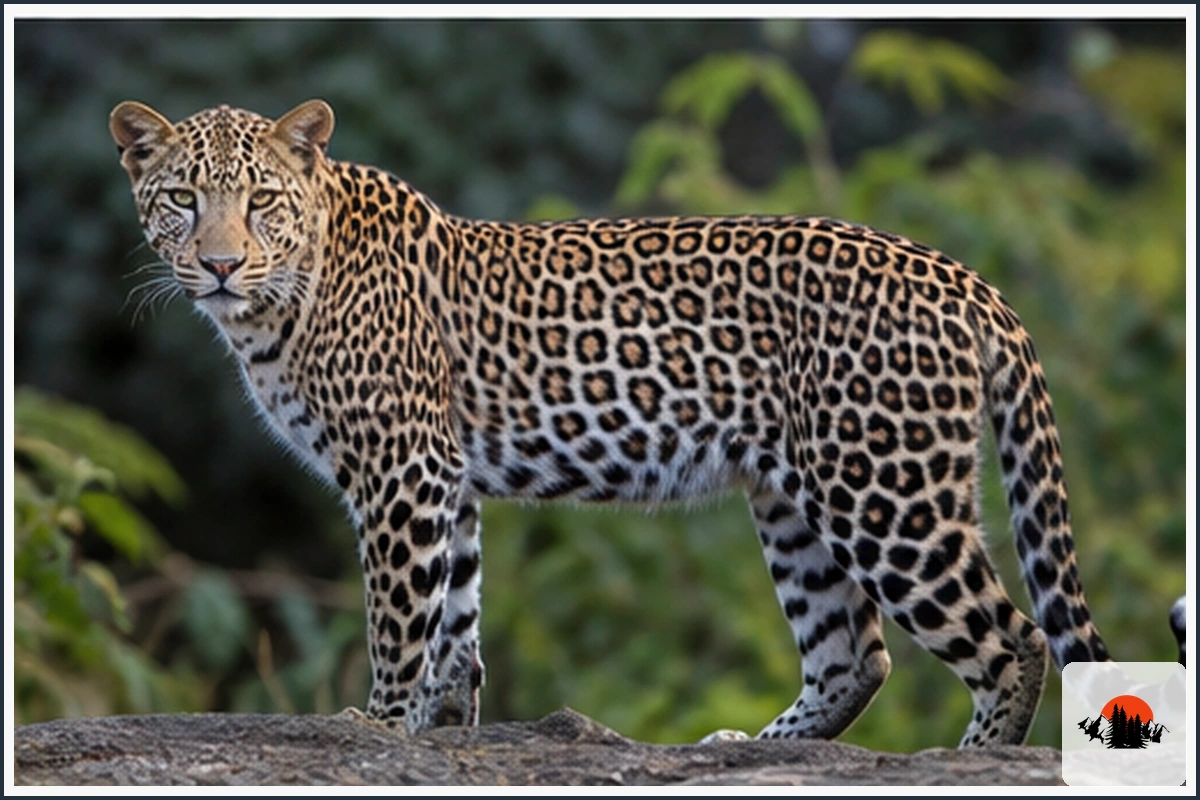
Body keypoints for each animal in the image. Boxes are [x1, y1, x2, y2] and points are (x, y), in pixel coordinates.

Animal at [109, 98, 1185, 749]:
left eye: (262, 200)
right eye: (181, 199)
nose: (218, 264)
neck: (278, 300)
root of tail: (966, 278)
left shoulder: (401, 473)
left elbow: (399, 621)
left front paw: (375, 730)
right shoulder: (447, 483)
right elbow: (456, 627)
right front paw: (442, 735)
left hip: (883, 490)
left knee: (1013, 640)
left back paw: (965, 755)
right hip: (794, 498)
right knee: (854, 655)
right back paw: (749, 750)